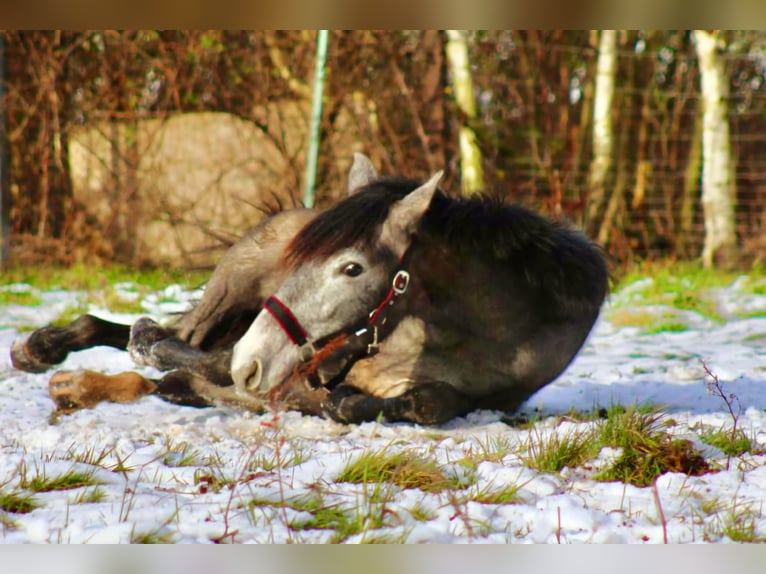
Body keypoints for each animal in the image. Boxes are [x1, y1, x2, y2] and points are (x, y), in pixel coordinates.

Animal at [9, 155, 608, 426]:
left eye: (352, 268)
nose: (252, 362)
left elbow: (419, 403)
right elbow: (198, 364)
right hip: (231, 291)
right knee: (167, 336)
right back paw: (49, 351)